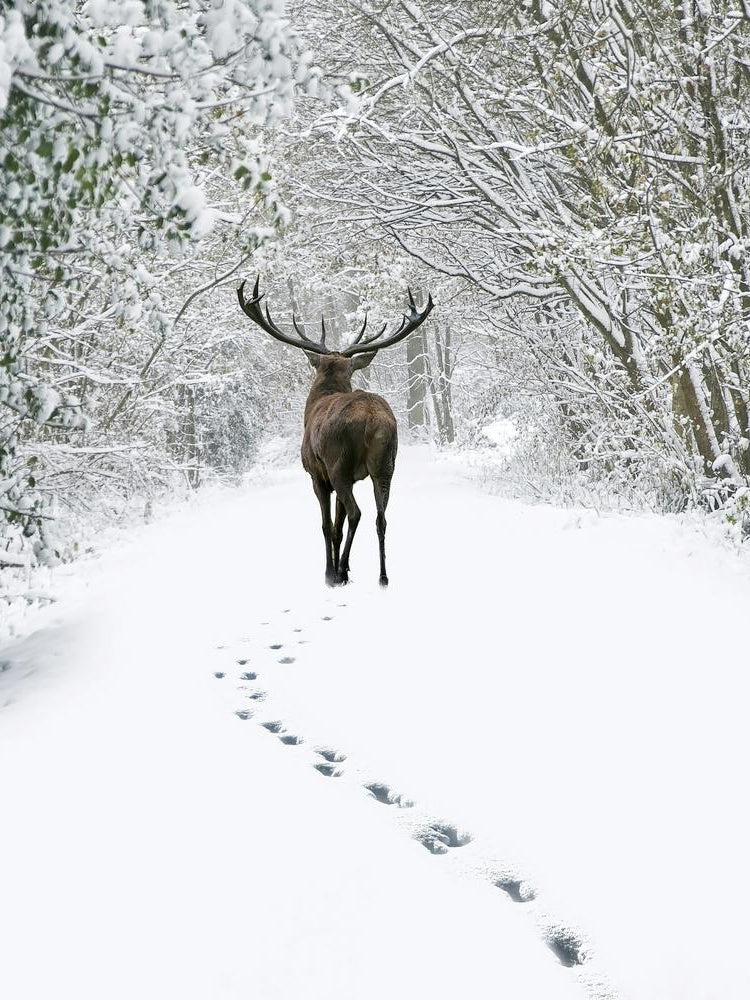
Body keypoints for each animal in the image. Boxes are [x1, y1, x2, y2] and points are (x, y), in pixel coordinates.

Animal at [237, 277, 434, 587]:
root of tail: (374, 421)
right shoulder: (353, 477)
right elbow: (338, 527)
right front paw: (347, 567)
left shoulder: (317, 475)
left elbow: (327, 525)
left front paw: (330, 571)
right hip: (386, 465)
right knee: (381, 517)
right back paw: (382, 576)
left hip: (338, 463)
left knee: (356, 513)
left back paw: (338, 571)